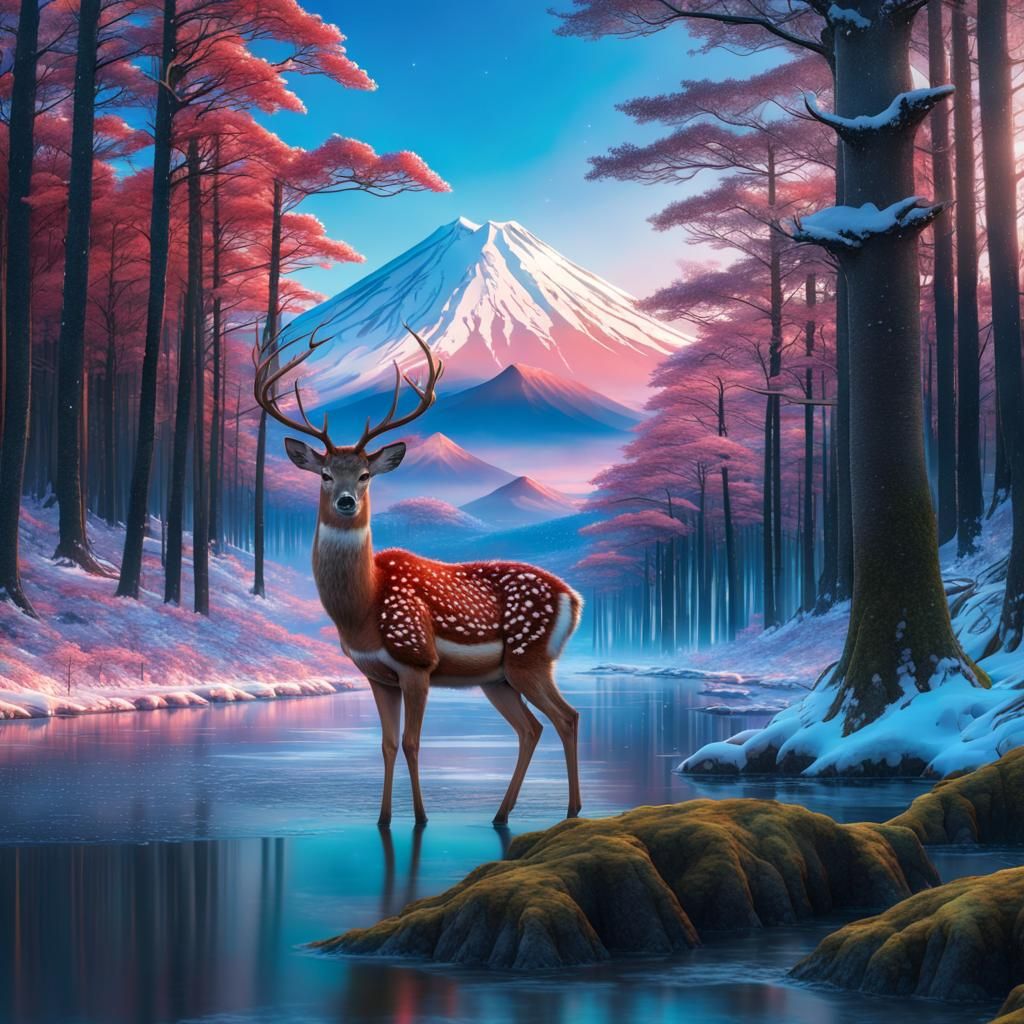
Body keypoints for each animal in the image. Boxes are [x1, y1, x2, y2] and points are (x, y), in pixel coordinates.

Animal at [253, 322, 583, 827]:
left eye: (366, 474)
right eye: (325, 474)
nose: (346, 501)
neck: (364, 609)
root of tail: (574, 598)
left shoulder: (417, 662)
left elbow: (411, 742)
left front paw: (422, 819)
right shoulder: (375, 675)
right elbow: (387, 744)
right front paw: (383, 820)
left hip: (530, 658)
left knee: (567, 717)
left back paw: (571, 812)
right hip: (498, 678)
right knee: (531, 727)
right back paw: (501, 815)